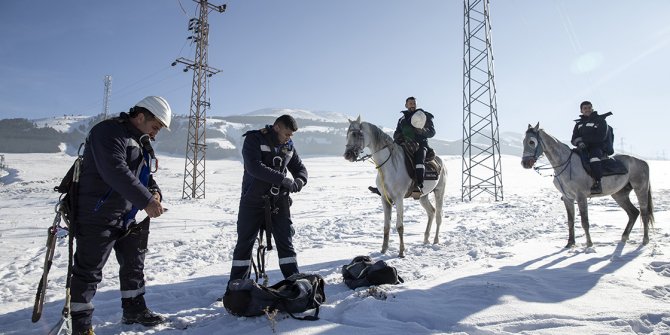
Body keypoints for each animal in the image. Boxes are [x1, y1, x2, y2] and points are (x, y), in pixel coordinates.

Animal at [346, 117, 446, 258]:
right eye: (348, 134)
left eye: (356, 134)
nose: (347, 155)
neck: (388, 166)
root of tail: (440, 161)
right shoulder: (384, 199)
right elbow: (386, 226)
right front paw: (383, 250)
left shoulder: (399, 198)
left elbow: (399, 226)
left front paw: (401, 252)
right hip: (423, 196)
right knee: (431, 212)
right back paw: (426, 239)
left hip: (439, 191)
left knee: (438, 216)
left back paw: (435, 241)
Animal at [524, 123, 656, 247]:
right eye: (524, 141)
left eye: (531, 142)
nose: (525, 163)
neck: (566, 164)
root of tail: (642, 162)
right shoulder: (567, 198)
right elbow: (570, 221)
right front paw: (570, 243)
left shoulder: (581, 197)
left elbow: (584, 222)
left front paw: (589, 244)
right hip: (619, 194)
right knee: (633, 213)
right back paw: (624, 237)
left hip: (641, 189)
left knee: (644, 214)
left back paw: (645, 240)